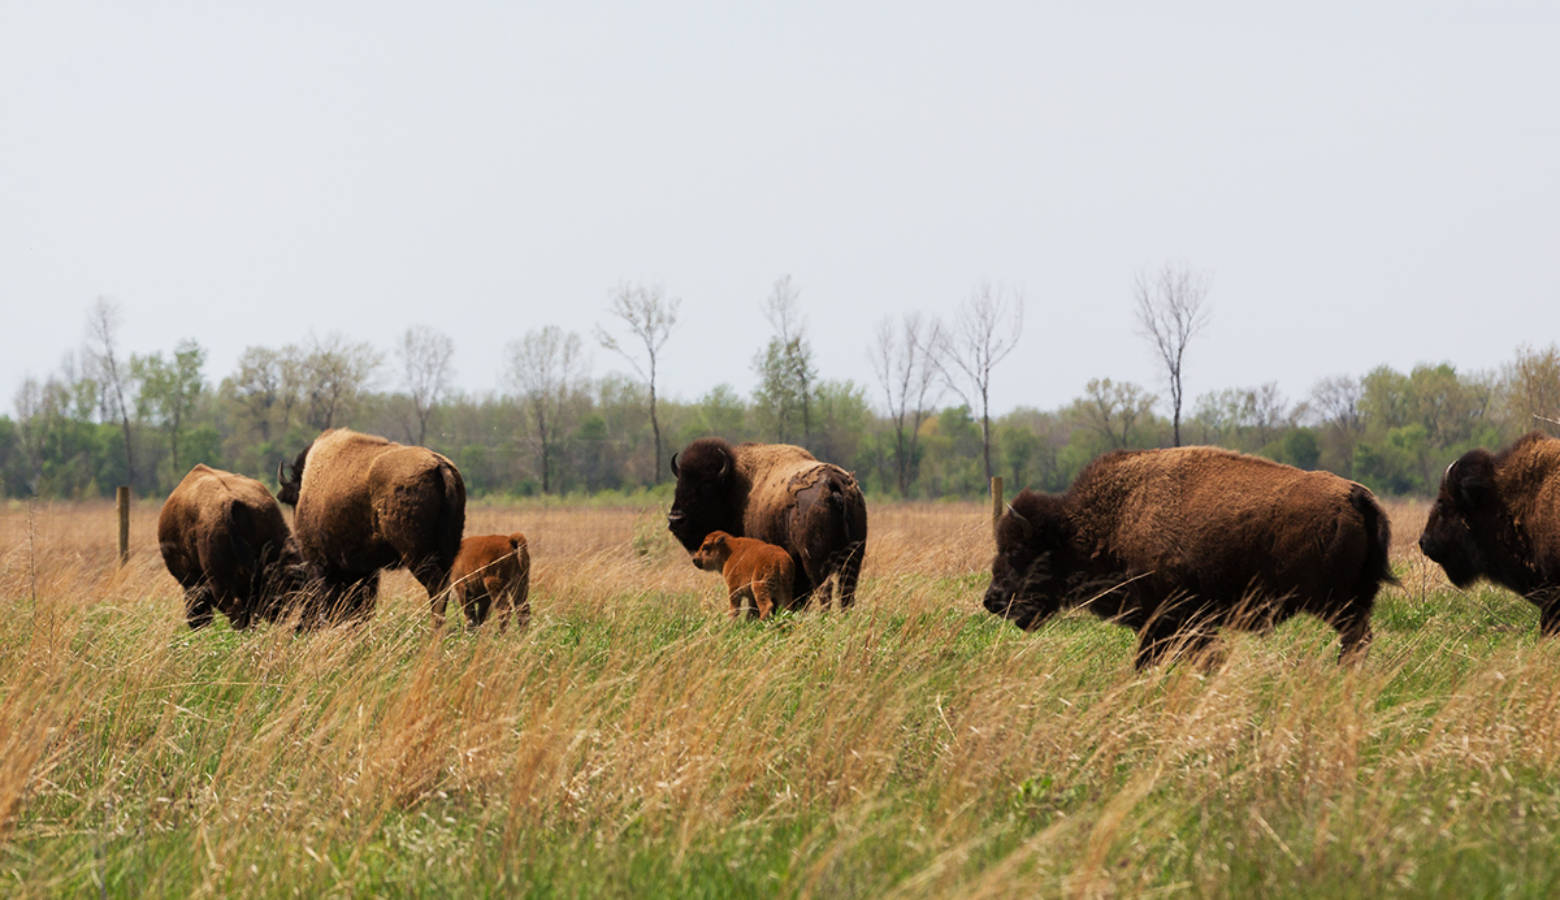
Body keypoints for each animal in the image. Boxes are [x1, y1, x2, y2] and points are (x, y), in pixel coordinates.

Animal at [277, 427, 464, 623]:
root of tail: (439, 465)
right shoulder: (364, 569)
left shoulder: (320, 562)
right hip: (447, 550)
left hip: (417, 554)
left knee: (436, 587)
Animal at [667, 436, 873, 608]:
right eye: (679, 484)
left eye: (706, 486)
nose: (675, 519)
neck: (735, 485)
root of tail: (833, 481)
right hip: (853, 557)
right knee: (846, 593)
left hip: (816, 561)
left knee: (825, 591)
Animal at [979, 446, 1397, 667]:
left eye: (1019, 551)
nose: (992, 600)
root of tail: (1356, 496)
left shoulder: (1171, 620)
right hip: (1354, 600)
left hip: (1336, 603)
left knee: (1354, 639)